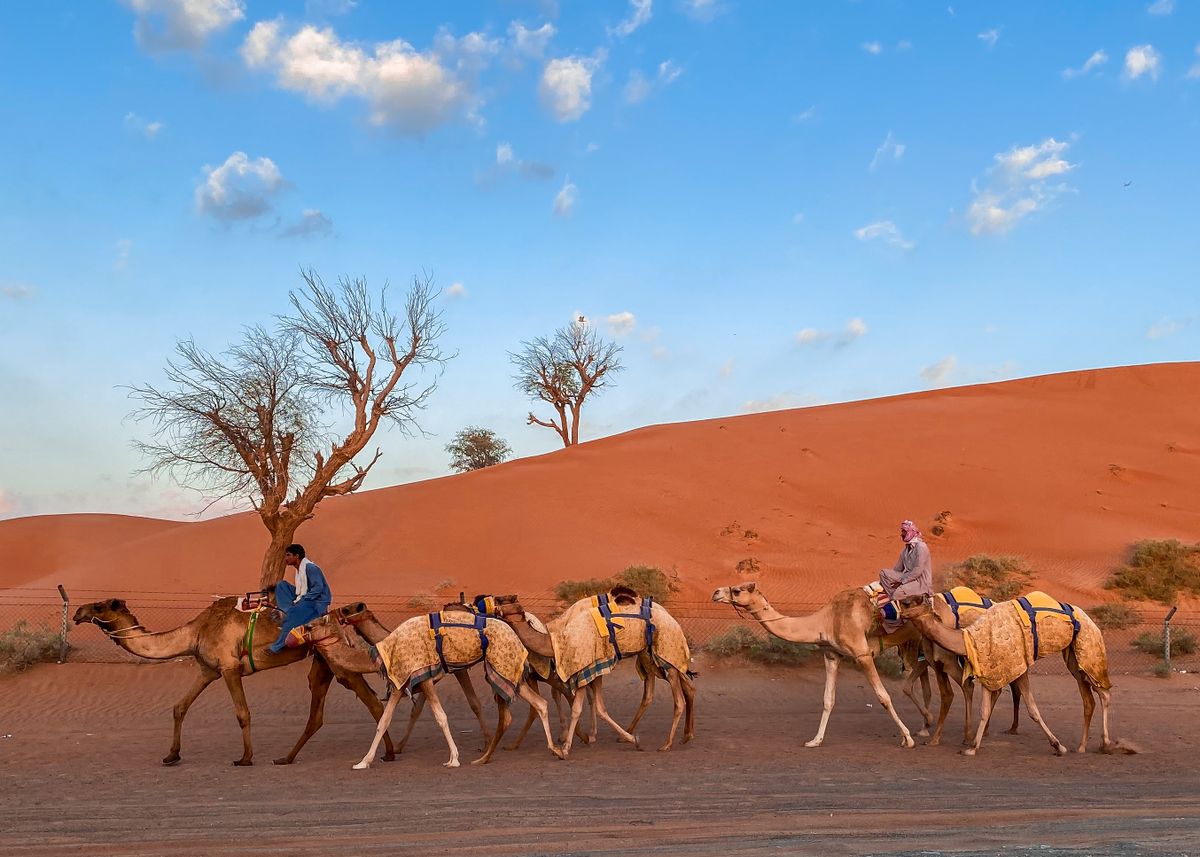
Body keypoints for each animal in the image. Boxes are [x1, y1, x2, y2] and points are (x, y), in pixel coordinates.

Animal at [72, 597, 396, 766]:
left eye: (99, 607)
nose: (77, 612)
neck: (194, 633)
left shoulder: (229, 668)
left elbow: (242, 713)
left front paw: (245, 757)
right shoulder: (207, 669)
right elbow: (179, 707)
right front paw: (172, 755)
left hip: (335, 661)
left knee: (371, 703)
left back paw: (389, 754)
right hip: (323, 662)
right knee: (318, 714)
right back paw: (286, 758)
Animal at [306, 609, 565, 768]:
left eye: (314, 624)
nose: (303, 628)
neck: (383, 648)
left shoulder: (423, 676)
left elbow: (441, 716)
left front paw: (453, 759)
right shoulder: (401, 681)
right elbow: (383, 722)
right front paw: (363, 762)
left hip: (502, 663)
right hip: (509, 669)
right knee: (538, 703)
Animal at [493, 589, 696, 755]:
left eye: (501, 603)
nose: (489, 603)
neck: (557, 640)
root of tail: (673, 620)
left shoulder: (585, 667)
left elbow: (577, 706)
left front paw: (567, 745)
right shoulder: (589, 670)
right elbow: (592, 705)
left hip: (665, 654)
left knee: (678, 700)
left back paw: (667, 744)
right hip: (653, 657)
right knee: (676, 689)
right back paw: (684, 736)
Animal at [711, 582, 927, 749]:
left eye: (737, 590)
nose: (716, 592)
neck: (826, 621)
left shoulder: (862, 654)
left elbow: (884, 697)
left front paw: (907, 738)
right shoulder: (832, 655)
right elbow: (828, 699)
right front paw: (815, 740)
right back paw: (927, 726)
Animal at [898, 591, 1115, 756]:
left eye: (910, 601)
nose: (899, 613)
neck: (969, 639)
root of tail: (1088, 618)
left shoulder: (1017, 666)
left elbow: (1033, 710)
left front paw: (1058, 746)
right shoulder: (988, 667)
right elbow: (984, 710)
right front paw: (972, 748)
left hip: (1089, 650)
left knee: (1104, 692)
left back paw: (1105, 744)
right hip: (1075, 658)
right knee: (1089, 700)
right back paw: (1081, 747)